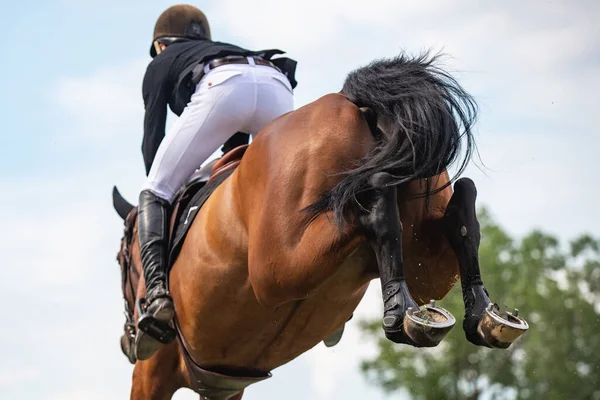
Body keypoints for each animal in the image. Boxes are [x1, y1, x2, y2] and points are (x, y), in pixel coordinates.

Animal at [113, 51, 528, 398]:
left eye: (120, 262)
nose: (128, 341)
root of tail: (357, 103)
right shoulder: (223, 385)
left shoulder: (152, 373)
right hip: (425, 260)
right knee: (457, 212)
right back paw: (478, 315)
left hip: (276, 270)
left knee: (372, 205)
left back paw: (402, 310)